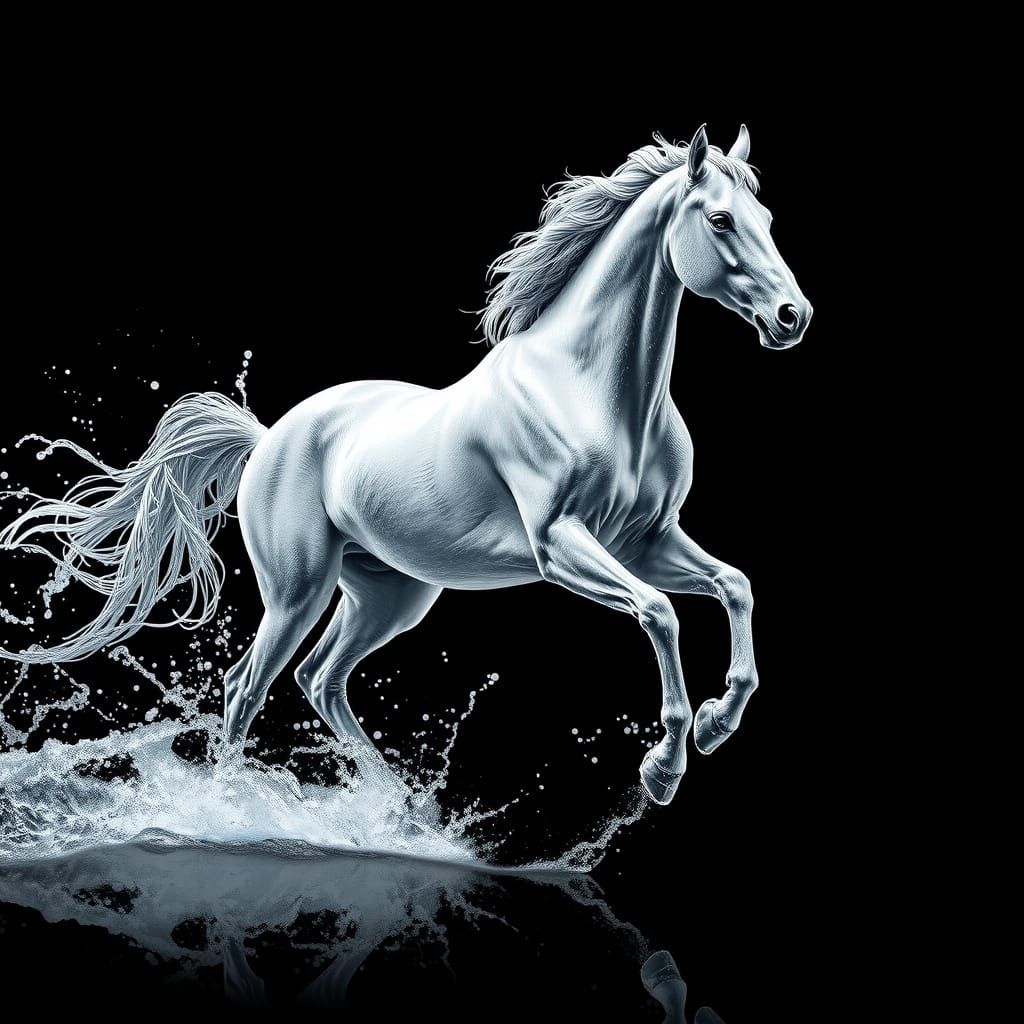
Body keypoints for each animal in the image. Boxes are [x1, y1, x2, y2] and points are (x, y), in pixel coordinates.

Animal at [0, 125, 811, 806]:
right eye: (720, 221)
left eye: (768, 219)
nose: (792, 318)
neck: (590, 390)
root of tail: (267, 438)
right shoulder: (561, 545)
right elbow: (659, 613)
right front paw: (665, 767)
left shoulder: (648, 539)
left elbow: (734, 587)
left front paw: (715, 723)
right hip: (298, 589)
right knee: (247, 684)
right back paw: (233, 809)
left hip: (389, 594)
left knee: (320, 679)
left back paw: (404, 814)